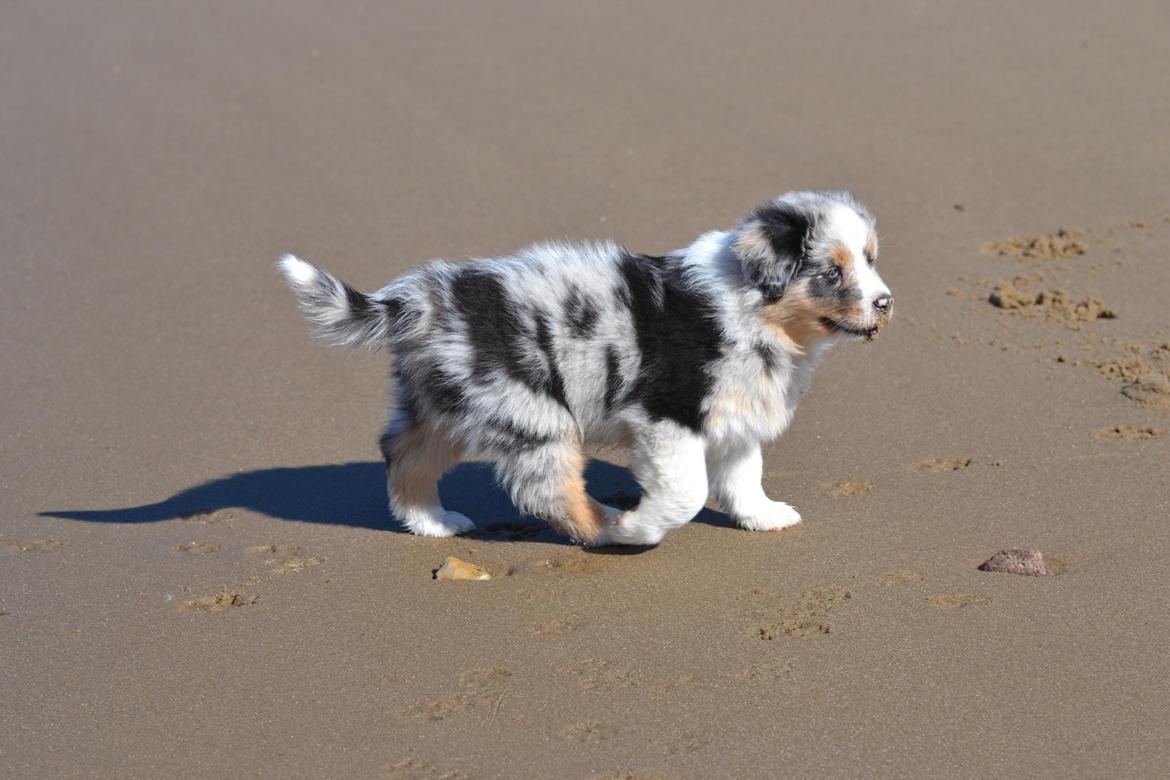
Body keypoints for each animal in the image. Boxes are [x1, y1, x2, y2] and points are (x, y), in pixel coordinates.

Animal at [278, 191, 889, 547]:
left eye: (870, 259)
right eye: (831, 272)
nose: (885, 303)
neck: (754, 303)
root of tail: (427, 299)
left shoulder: (735, 412)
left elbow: (743, 473)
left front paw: (763, 515)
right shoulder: (667, 415)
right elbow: (686, 492)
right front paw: (641, 525)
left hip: (450, 407)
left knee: (402, 450)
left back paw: (433, 521)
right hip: (534, 414)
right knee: (546, 491)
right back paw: (606, 527)